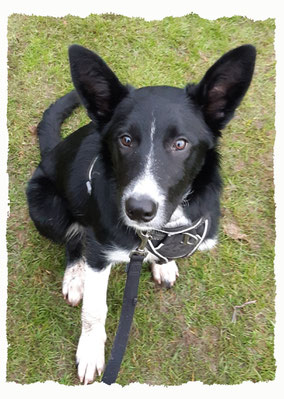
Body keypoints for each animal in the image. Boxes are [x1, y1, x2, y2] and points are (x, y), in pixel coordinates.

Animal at [26, 43, 256, 384]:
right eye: (125, 140)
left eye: (180, 143)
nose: (138, 210)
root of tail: (51, 152)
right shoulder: (100, 250)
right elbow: (94, 310)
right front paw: (90, 352)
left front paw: (165, 263)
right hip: (48, 210)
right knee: (73, 240)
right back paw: (75, 276)